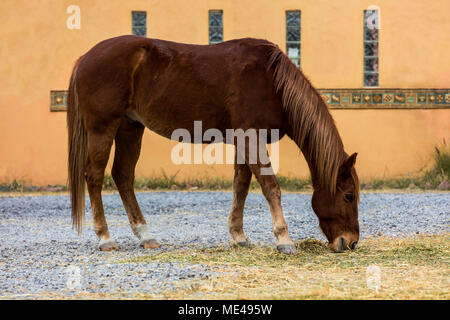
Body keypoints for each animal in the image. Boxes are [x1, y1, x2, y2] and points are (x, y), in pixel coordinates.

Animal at [67, 35, 360, 255]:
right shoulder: (251, 137)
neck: (271, 81)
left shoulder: (245, 140)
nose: (351, 242)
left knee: (123, 176)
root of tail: (85, 58)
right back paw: (105, 238)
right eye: (349, 195)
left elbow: (241, 186)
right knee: (94, 176)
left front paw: (239, 236)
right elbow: (270, 187)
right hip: (103, 128)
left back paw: (145, 236)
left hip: (130, 128)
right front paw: (283, 240)